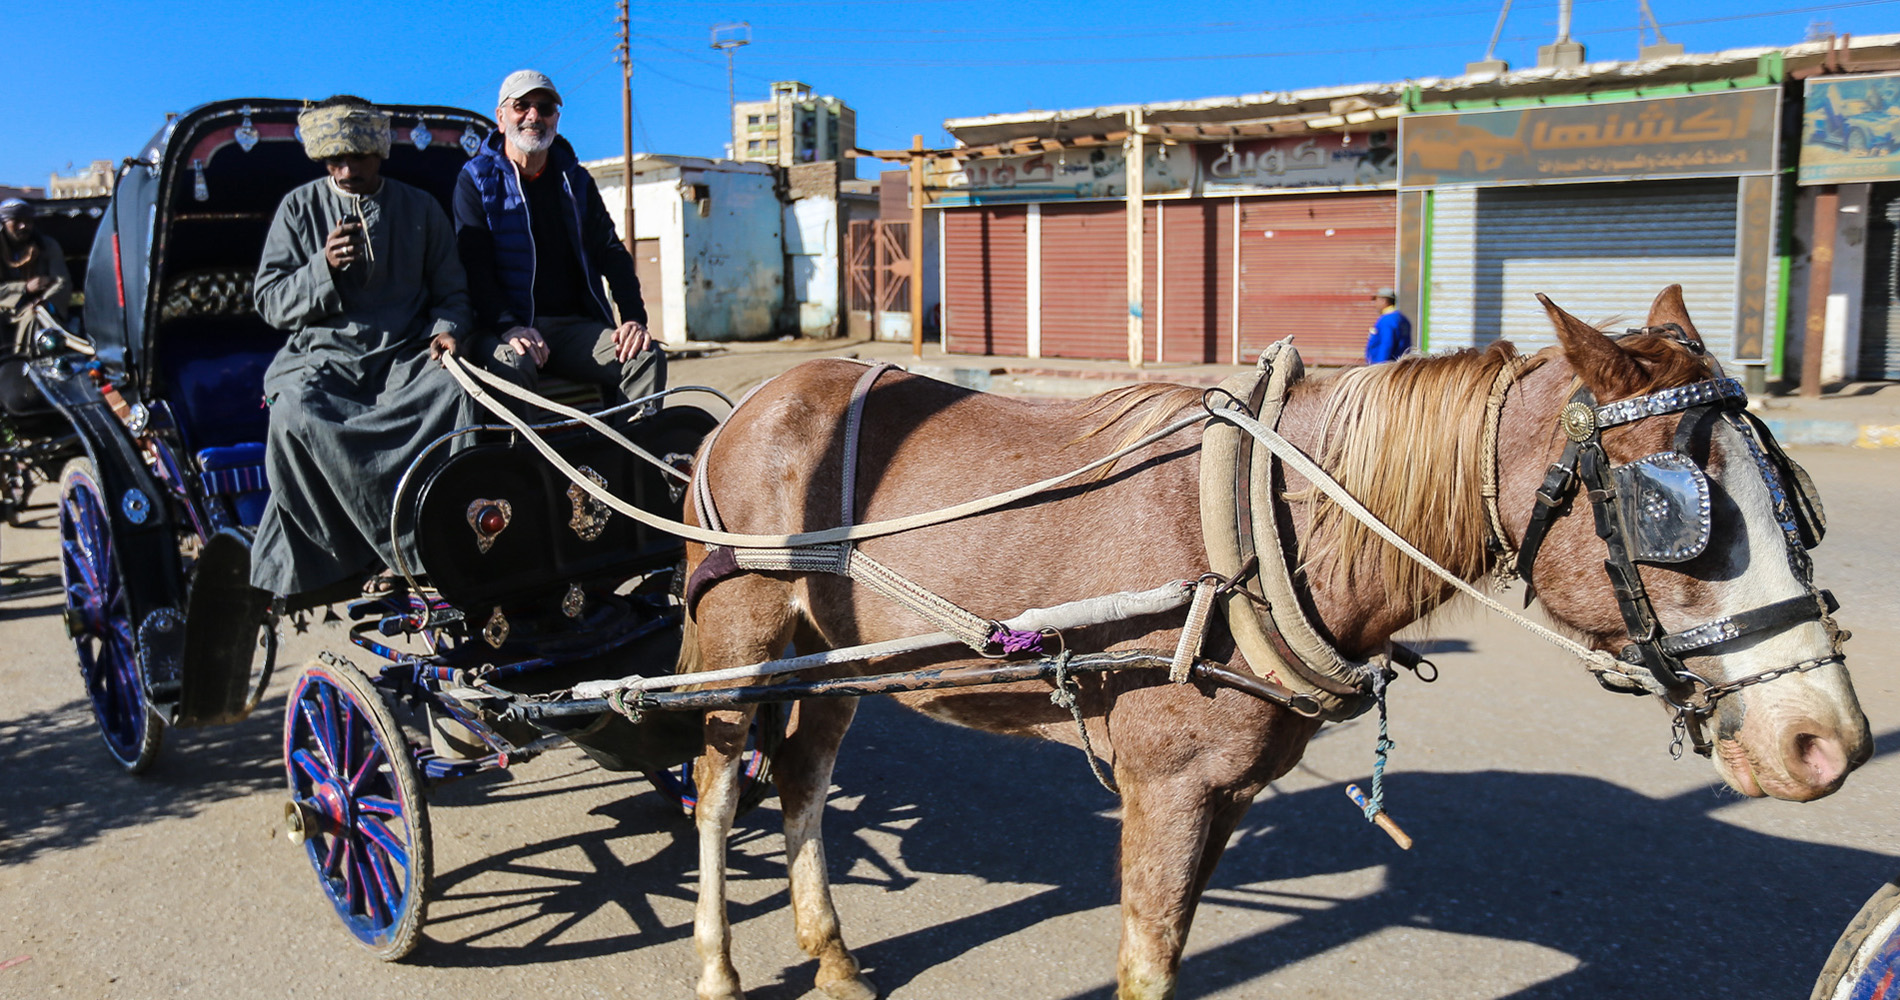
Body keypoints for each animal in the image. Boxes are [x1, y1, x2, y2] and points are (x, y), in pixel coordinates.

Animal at [672, 288, 1869, 1000]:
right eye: (1672, 509)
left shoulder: (1226, 791)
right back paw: (717, 965)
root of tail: (753, 403)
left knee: (803, 777)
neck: (1263, 529)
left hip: (840, 659)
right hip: (739, 636)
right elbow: (1147, 962)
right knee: (722, 781)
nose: (1828, 741)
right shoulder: (1163, 786)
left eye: (1794, 499)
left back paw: (832, 957)